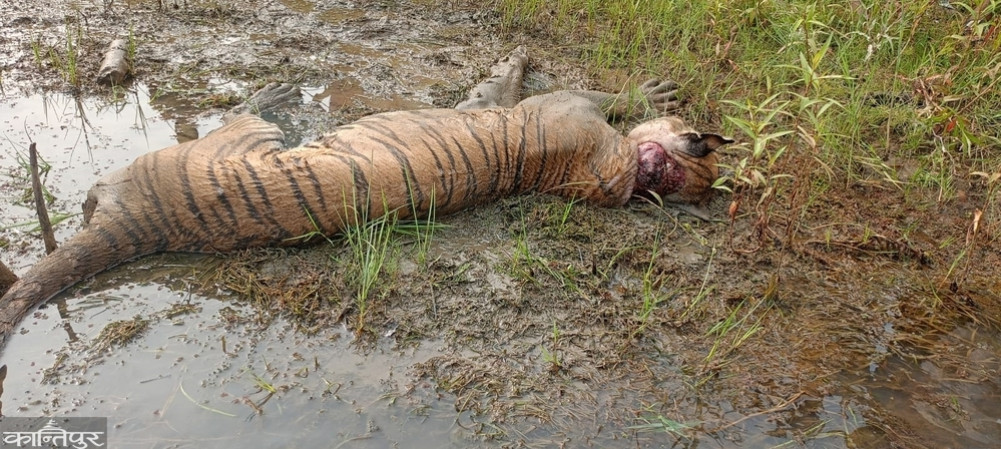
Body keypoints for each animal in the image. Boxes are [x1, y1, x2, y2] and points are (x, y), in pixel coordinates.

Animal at [0, 46, 730, 353]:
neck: (627, 175)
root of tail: (142, 225)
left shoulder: (540, 104)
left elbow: (526, 80)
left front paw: (640, 91)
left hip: (240, 141)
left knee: (241, 112)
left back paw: (274, 91)